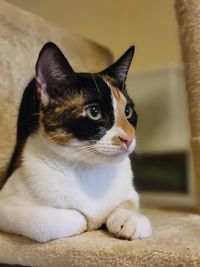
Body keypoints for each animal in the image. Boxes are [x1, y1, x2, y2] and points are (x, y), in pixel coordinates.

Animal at [0, 41, 152, 243]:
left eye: (128, 111)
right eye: (94, 112)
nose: (128, 138)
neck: (89, 169)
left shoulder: (130, 193)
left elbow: (127, 203)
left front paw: (131, 220)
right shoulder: (6, 203)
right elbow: (60, 221)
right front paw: (86, 220)